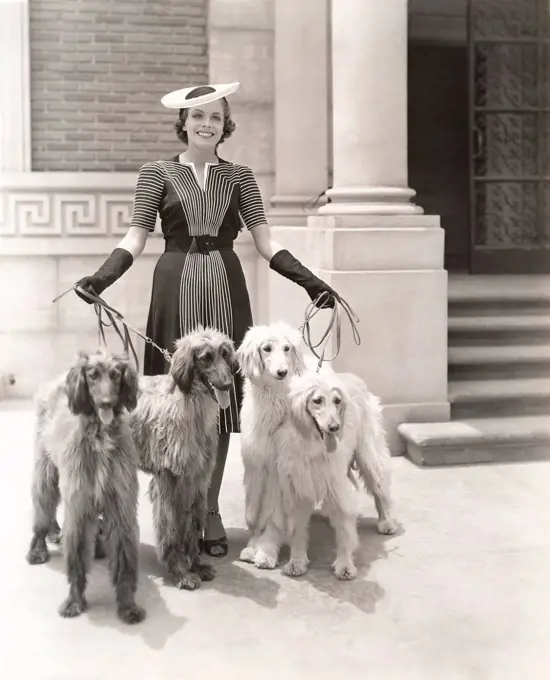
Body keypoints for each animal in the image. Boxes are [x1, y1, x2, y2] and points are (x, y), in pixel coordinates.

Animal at [26, 354, 146, 624]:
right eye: (92, 376)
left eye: (115, 375)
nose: (106, 403)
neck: (100, 436)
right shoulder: (79, 507)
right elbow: (76, 560)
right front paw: (74, 601)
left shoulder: (121, 507)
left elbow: (125, 561)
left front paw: (127, 606)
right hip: (46, 473)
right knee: (42, 511)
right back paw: (38, 547)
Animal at [132, 326, 239, 588]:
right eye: (206, 358)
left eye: (225, 354)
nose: (227, 385)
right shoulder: (169, 478)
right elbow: (171, 528)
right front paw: (180, 572)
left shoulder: (197, 477)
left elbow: (192, 525)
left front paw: (196, 565)